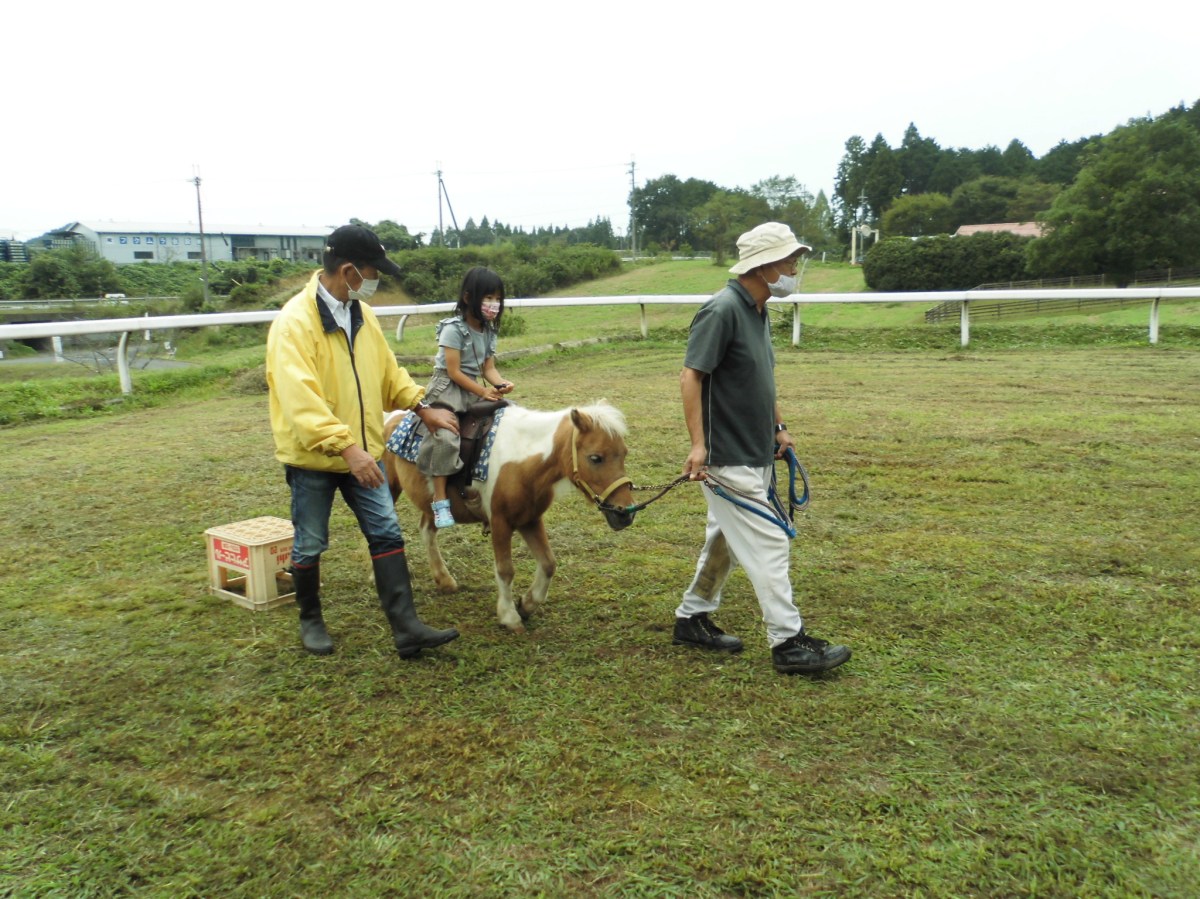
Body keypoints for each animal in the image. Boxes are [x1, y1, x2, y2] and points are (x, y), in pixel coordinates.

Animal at [383, 401, 636, 632]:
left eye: (624, 453)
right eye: (595, 458)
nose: (625, 513)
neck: (520, 460)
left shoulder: (530, 519)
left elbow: (548, 564)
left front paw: (526, 604)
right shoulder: (500, 522)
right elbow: (505, 570)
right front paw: (509, 616)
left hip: (430, 504)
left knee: (427, 530)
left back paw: (444, 580)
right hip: (390, 488)